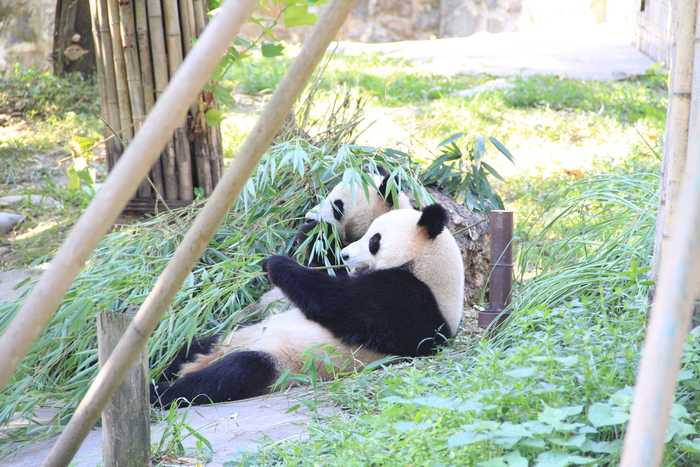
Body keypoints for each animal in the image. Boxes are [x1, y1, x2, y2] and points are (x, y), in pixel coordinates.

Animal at [150, 206, 462, 410]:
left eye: (375, 239)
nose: (346, 254)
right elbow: (326, 271)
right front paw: (314, 232)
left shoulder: (412, 303)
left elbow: (340, 302)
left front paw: (277, 263)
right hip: (230, 336)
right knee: (187, 348)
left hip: (281, 363)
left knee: (231, 375)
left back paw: (159, 392)